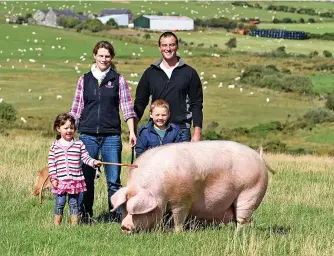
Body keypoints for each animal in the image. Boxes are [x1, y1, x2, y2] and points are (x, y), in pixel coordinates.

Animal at [111, 141, 272, 233]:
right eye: (124, 209)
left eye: (136, 212)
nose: (124, 227)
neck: (159, 191)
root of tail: (258, 157)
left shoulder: (182, 199)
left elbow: (178, 217)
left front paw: (176, 233)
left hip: (250, 192)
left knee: (242, 218)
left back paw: (237, 234)